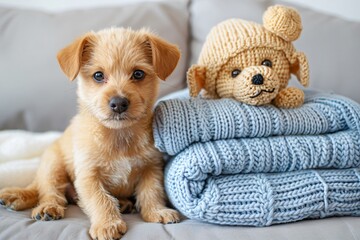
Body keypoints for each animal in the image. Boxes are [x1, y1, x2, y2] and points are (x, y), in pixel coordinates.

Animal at [0, 27, 181, 238]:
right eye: (98, 75)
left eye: (138, 74)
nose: (119, 103)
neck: (119, 137)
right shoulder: (88, 175)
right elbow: (101, 200)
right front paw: (108, 224)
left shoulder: (151, 168)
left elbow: (151, 192)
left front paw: (157, 211)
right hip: (53, 167)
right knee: (47, 191)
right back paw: (45, 207)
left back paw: (124, 203)